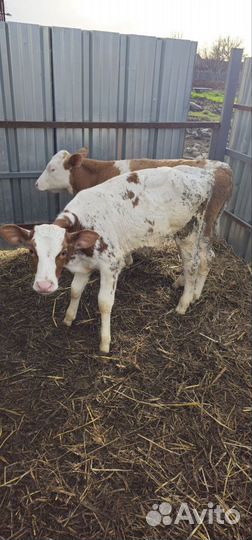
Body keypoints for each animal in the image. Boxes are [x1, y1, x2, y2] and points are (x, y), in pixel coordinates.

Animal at [0, 163, 232, 354]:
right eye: (32, 251)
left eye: (62, 251)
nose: (44, 285)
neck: (83, 222)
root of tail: (202, 174)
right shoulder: (84, 266)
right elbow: (75, 291)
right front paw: (68, 318)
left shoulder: (110, 265)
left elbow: (104, 303)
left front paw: (105, 342)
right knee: (203, 258)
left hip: (189, 231)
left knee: (193, 264)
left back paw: (184, 302)